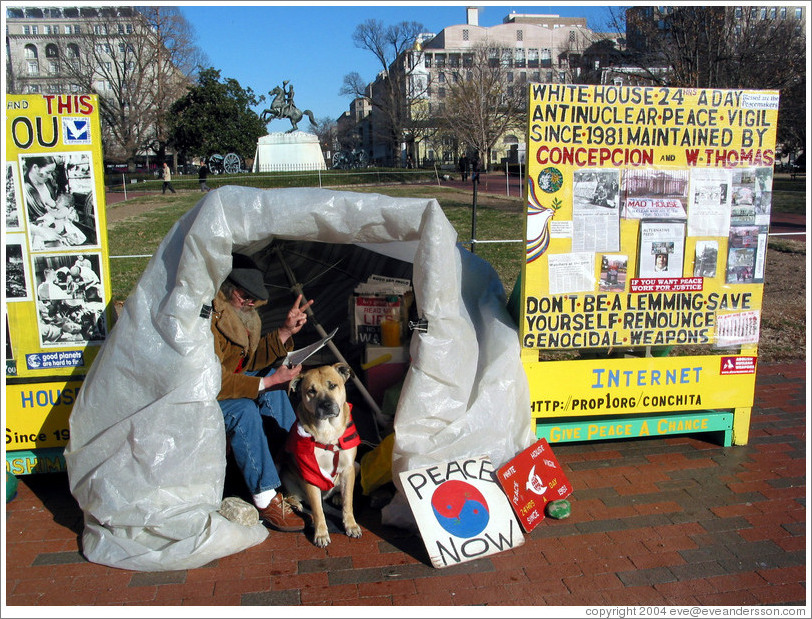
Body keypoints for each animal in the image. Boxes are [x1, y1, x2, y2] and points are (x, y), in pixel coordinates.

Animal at [284, 364, 364, 548]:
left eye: (332, 385)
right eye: (311, 391)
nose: (326, 405)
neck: (329, 432)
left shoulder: (348, 468)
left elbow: (348, 502)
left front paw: (351, 525)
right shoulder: (310, 473)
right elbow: (318, 511)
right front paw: (321, 534)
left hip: (356, 466)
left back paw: (337, 497)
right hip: (284, 473)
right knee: (292, 495)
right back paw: (296, 504)